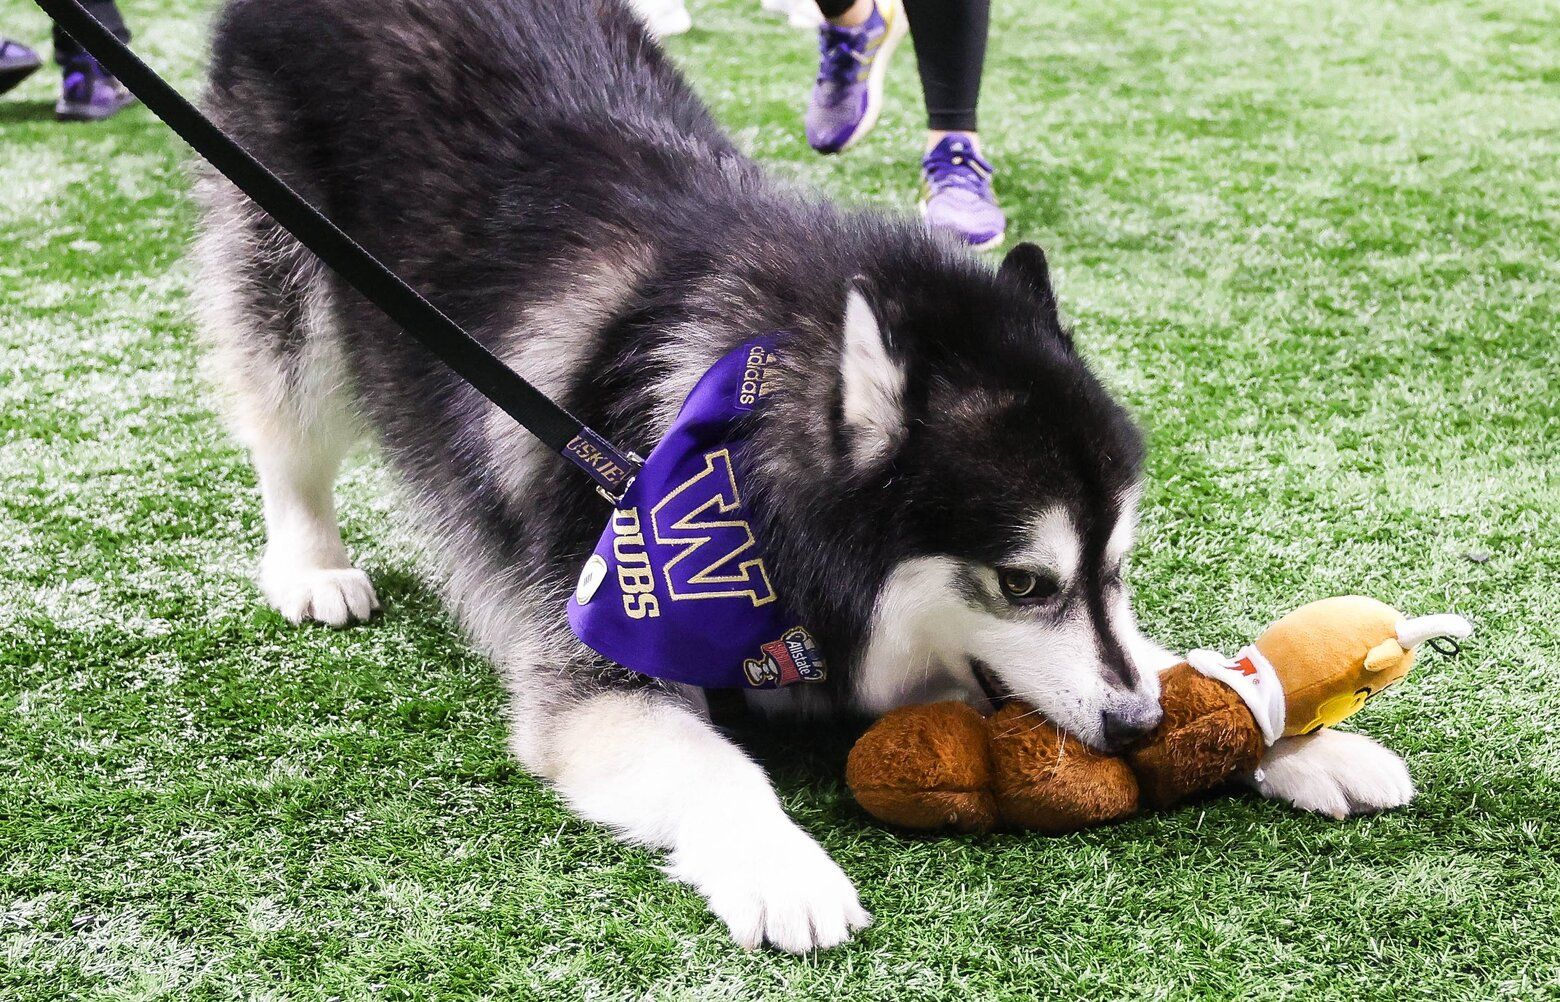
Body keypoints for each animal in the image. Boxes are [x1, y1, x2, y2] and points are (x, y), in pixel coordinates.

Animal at [195, 0, 1416, 948]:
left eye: (1115, 570)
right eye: (1023, 583)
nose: (1135, 731)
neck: (731, 485)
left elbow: (1170, 662)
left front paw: (1294, 738)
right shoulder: (601, 643)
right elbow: (710, 765)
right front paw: (782, 865)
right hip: (290, 272)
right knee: (285, 423)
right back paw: (311, 565)